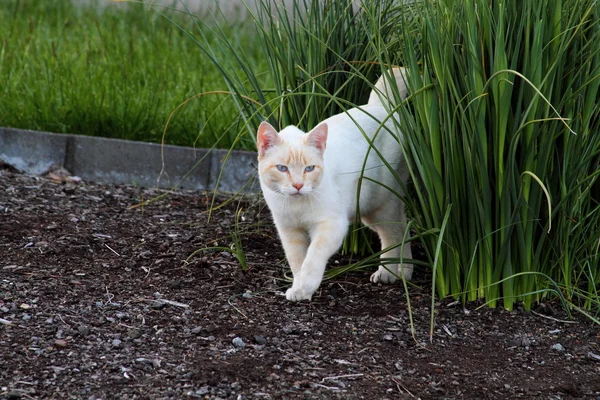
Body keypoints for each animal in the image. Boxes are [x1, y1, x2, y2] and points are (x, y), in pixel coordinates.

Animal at [255, 68, 414, 300]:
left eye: (309, 169)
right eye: (282, 168)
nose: (298, 186)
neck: (297, 205)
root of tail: (378, 106)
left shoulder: (331, 224)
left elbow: (313, 258)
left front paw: (305, 287)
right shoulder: (290, 232)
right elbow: (298, 262)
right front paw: (299, 289)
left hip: (380, 205)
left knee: (395, 231)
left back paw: (391, 272)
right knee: (401, 228)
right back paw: (402, 271)